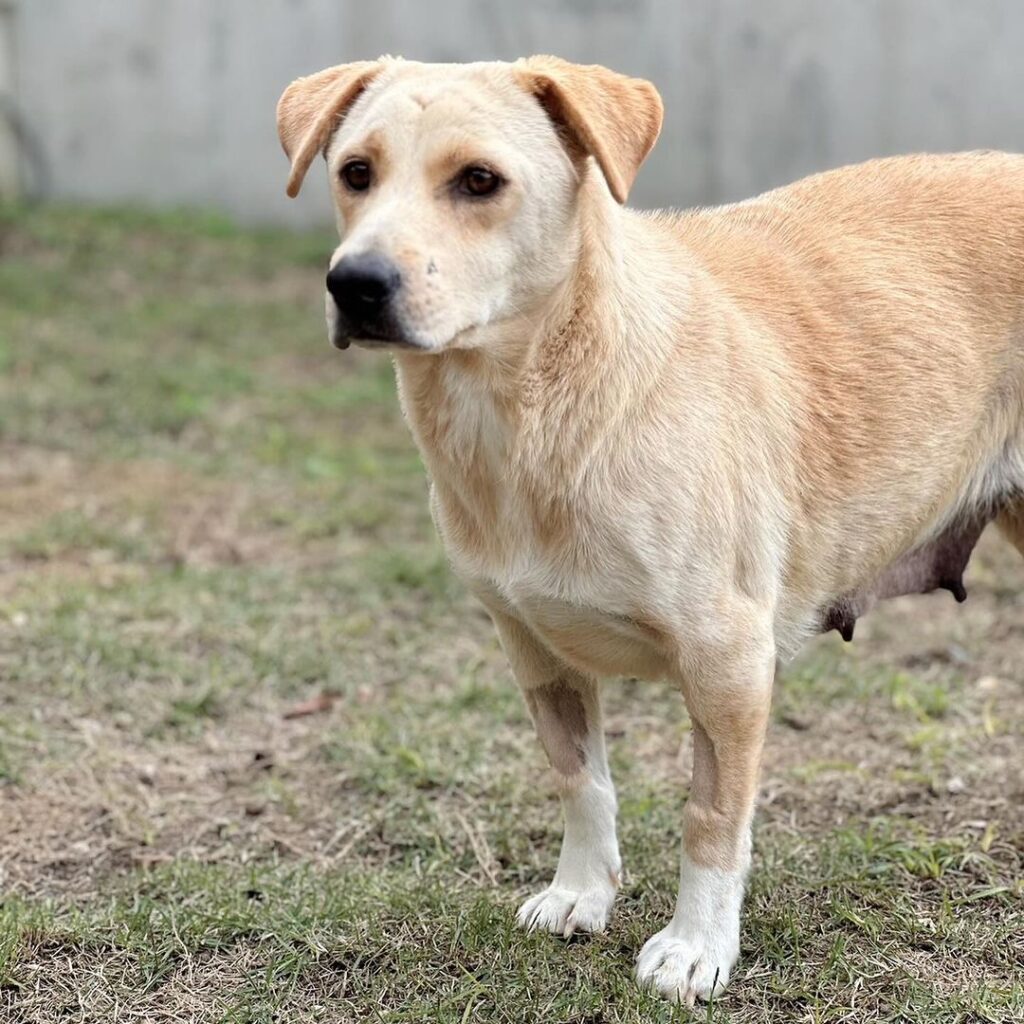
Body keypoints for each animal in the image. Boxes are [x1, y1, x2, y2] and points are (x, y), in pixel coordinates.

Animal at [274, 54, 1024, 999]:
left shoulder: (728, 658)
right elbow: (579, 780)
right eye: (355, 172)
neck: (539, 415)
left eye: (479, 181)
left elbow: (710, 816)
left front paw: (698, 947)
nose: (356, 284)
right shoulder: (530, 643)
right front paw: (582, 893)